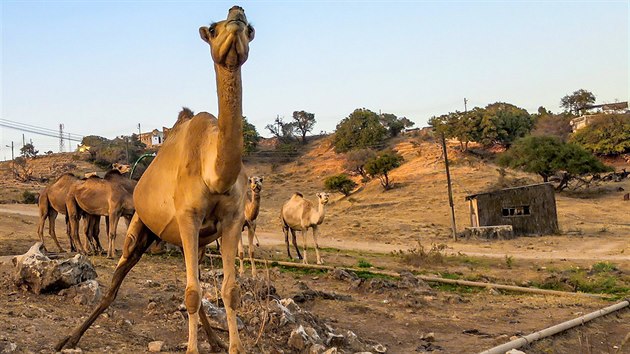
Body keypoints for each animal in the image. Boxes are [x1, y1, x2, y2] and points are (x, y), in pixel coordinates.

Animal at [55, 6, 256, 354]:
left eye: (250, 29)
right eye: (213, 28)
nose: (237, 12)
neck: (214, 173)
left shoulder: (232, 219)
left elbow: (229, 291)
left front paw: (233, 347)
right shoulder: (188, 216)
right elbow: (192, 293)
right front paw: (192, 349)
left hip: (195, 241)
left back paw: (215, 340)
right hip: (140, 227)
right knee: (114, 284)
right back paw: (70, 338)